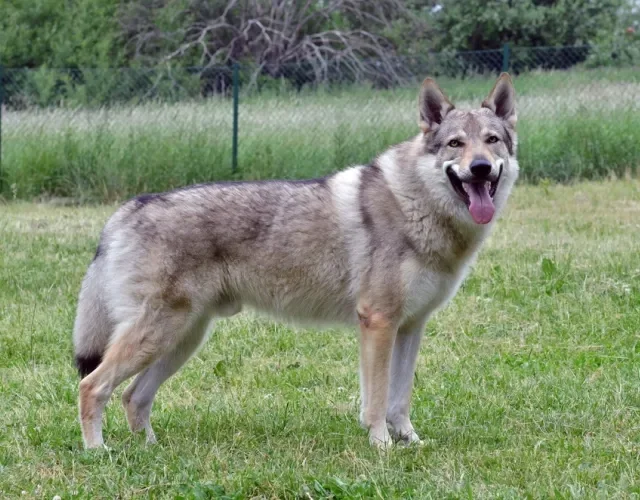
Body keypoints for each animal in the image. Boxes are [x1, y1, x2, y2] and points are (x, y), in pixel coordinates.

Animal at [73, 73, 519, 449]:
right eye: (455, 144)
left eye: (492, 140)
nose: (480, 168)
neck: (417, 206)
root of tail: (127, 209)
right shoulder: (378, 323)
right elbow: (376, 400)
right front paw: (381, 446)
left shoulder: (410, 326)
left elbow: (400, 399)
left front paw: (411, 443)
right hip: (160, 335)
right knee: (92, 386)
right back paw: (99, 452)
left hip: (183, 338)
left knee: (133, 397)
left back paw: (151, 450)